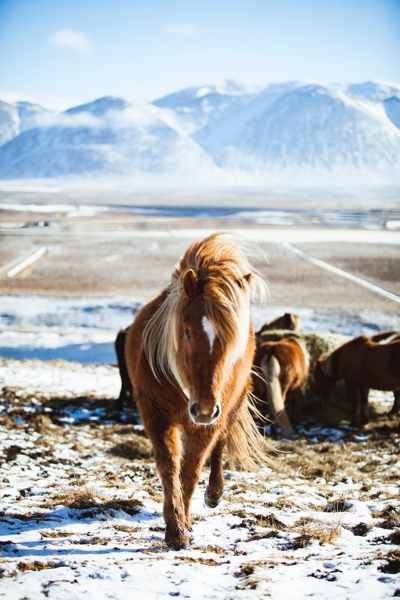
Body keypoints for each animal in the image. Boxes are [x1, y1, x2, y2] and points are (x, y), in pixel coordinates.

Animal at [125, 233, 272, 548]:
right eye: (188, 331)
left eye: (231, 339)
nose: (203, 409)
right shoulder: (155, 415)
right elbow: (169, 466)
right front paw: (175, 528)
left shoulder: (209, 423)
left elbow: (191, 470)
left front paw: (184, 522)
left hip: (229, 407)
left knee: (220, 444)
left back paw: (214, 494)